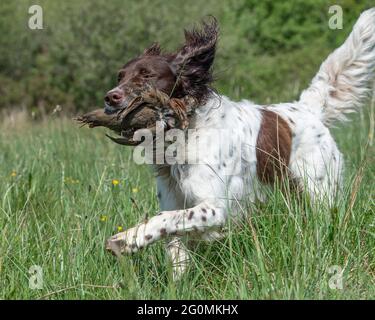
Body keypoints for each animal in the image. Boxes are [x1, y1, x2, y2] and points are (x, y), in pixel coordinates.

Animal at [104, 9, 375, 280]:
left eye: (147, 75)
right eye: (120, 76)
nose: (110, 97)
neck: (186, 133)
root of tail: (308, 108)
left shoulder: (216, 209)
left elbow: (163, 219)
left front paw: (128, 239)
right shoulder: (175, 200)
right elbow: (174, 243)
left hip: (320, 193)